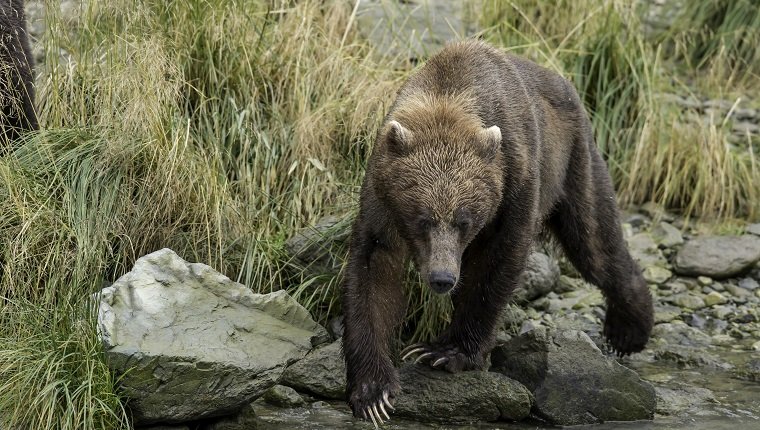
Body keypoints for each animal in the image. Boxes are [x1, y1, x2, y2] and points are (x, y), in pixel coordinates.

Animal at [342, 39, 656, 424]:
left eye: (464, 221)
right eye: (422, 218)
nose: (442, 278)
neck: (449, 97)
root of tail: (568, 85)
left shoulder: (513, 178)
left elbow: (496, 260)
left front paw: (446, 351)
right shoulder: (381, 193)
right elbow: (374, 270)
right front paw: (373, 391)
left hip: (574, 160)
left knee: (594, 243)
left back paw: (628, 329)